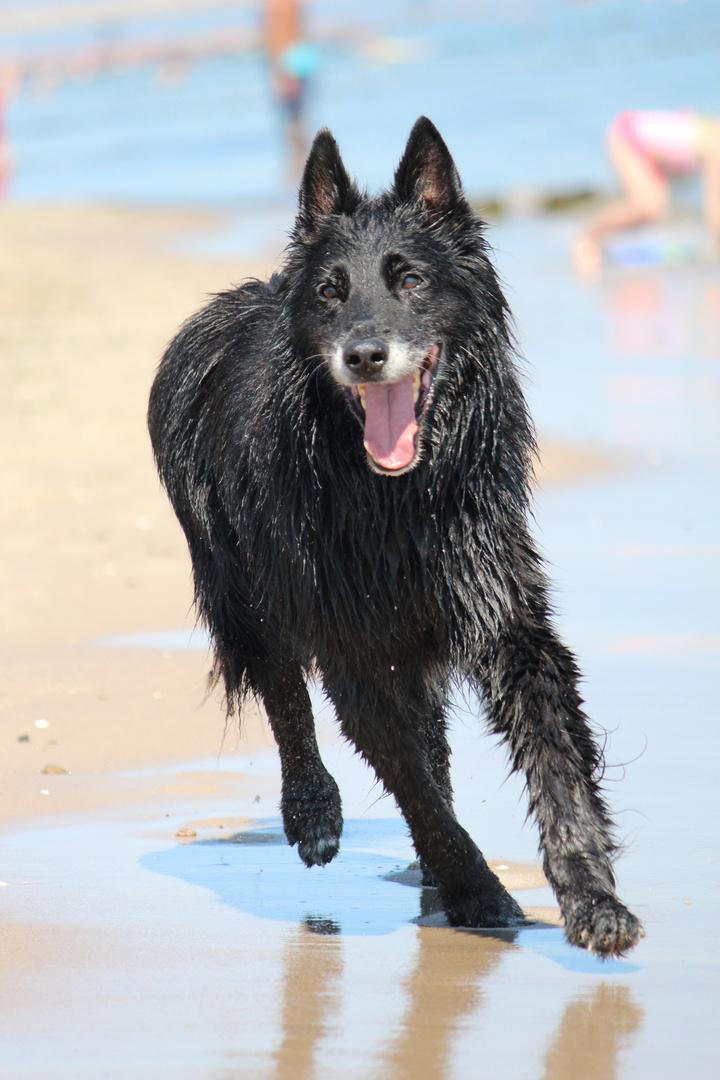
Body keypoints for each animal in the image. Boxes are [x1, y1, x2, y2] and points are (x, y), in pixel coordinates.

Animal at [148, 118, 643, 959]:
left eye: (410, 280)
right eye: (331, 291)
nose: (364, 354)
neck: (399, 501)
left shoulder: (500, 614)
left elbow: (553, 762)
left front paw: (592, 899)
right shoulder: (353, 648)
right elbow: (411, 782)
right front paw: (480, 894)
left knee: (429, 737)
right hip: (240, 580)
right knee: (282, 686)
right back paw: (314, 812)